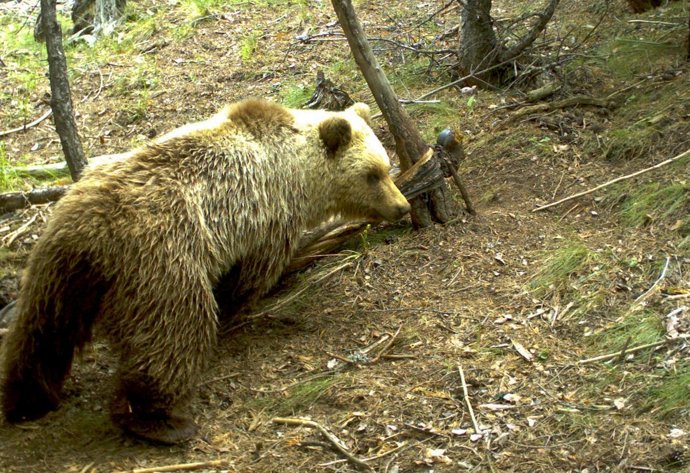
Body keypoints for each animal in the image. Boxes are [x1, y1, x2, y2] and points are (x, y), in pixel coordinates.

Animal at [0, 98, 410, 444]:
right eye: (373, 174)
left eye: (386, 167)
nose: (402, 206)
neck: (298, 170)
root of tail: (91, 231)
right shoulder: (269, 218)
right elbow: (250, 275)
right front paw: (240, 300)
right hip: (162, 262)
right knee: (173, 333)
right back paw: (160, 419)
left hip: (57, 267)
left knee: (41, 331)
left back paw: (27, 399)